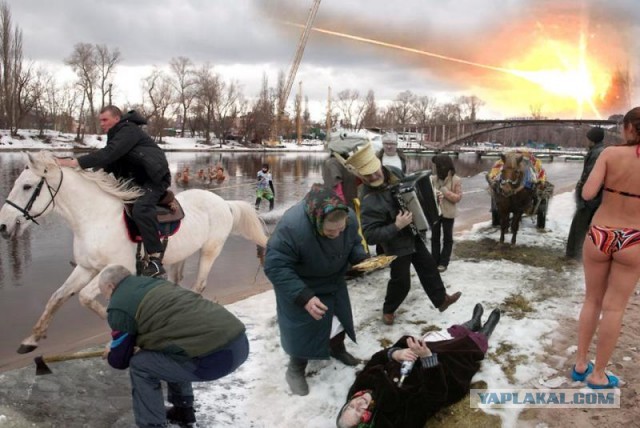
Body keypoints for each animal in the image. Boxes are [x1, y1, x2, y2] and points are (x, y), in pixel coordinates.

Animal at [0, 152, 268, 352]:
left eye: (27, 186)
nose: (3, 226)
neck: (95, 218)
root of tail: (225, 203)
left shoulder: (117, 267)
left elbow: (85, 297)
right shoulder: (86, 268)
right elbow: (57, 297)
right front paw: (31, 339)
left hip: (210, 251)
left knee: (199, 284)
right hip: (180, 257)